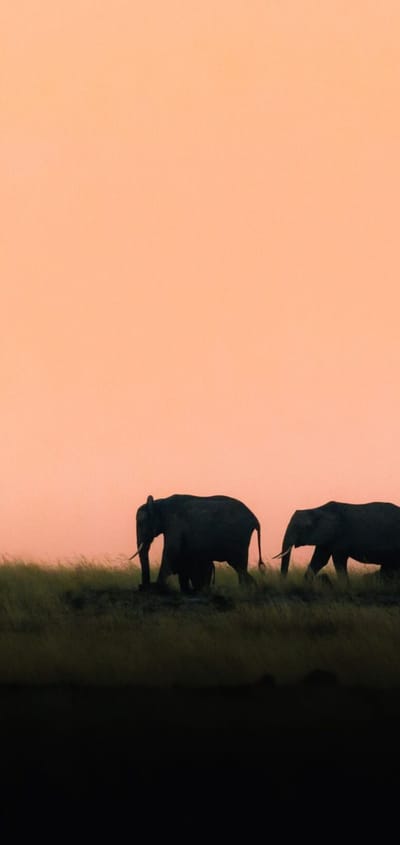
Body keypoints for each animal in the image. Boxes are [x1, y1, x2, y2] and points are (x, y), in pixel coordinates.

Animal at [130, 493, 265, 592]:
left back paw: (246, 589)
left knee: (238, 565)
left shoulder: (174, 523)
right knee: (240, 567)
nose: (142, 586)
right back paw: (249, 588)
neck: (159, 502)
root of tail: (255, 519)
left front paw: (158, 587)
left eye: (141, 523)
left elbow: (171, 551)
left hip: (239, 537)